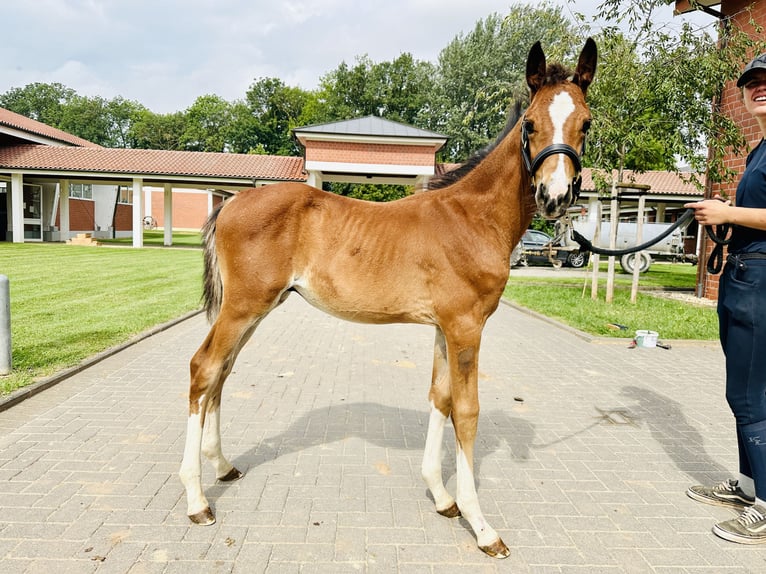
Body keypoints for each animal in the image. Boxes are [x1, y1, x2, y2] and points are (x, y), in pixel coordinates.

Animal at [182, 39, 600, 560]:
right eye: (530, 123)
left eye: (586, 122)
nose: (555, 196)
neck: (472, 218)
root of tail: (231, 202)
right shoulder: (466, 326)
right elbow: (467, 411)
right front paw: (481, 525)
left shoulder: (445, 326)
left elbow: (440, 397)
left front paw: (442, 498)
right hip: (243, 307)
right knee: (203, 369)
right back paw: (197, 501)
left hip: (256, 309)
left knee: (221, 373)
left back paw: (222, 467)